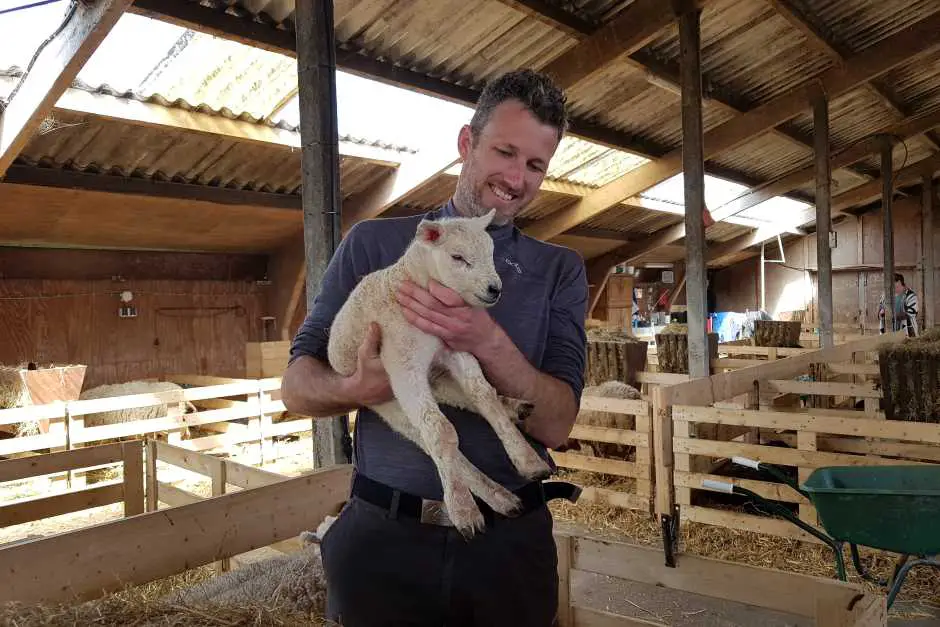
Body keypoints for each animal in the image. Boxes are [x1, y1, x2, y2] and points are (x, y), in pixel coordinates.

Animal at [324, 209, 552, 536]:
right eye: (458, 257)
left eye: (491, 252)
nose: (494, 289)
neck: (412, 280)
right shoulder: (402, 362)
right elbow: (441, 431)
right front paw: (463, 511)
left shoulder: (452, 347)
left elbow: (484, 396)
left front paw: (528, 461)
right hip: (390, 404)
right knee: (432, 439)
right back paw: (492, 500)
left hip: (437, 379)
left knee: (474, 397)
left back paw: (515, 410)